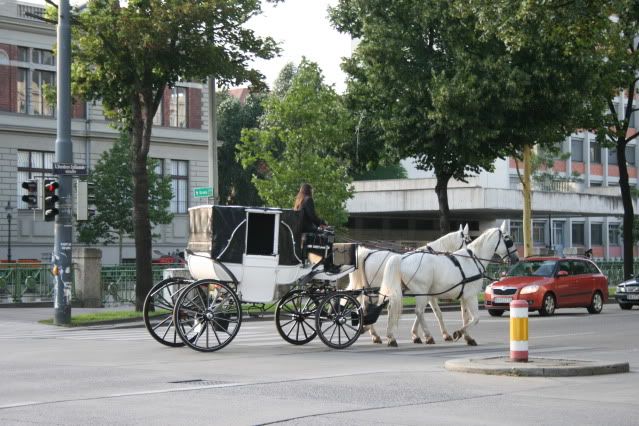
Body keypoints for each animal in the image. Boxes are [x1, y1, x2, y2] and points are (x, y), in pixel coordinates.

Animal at [380, 221, 520, 348]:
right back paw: (428, 336)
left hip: (403, 291)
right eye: (508, 239)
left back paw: (391, 337)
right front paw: (459, 333)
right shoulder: (470, 296)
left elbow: (465, 317)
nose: (516, 259)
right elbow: (475, 318)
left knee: (392, 308)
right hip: (421, 292)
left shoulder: (462, 297)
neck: (473, 259)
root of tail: (401, 258)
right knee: (419, 311)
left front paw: (467, 337)